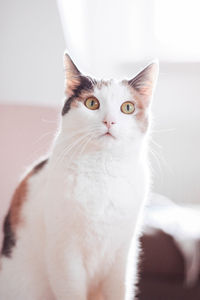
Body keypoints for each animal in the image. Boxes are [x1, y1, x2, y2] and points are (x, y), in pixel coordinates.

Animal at [0, 54, 159, 300]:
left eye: (128, 107)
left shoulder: (123, 255)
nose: (110, 121)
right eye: (92, 103)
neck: (102, 170)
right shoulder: (65, 256)